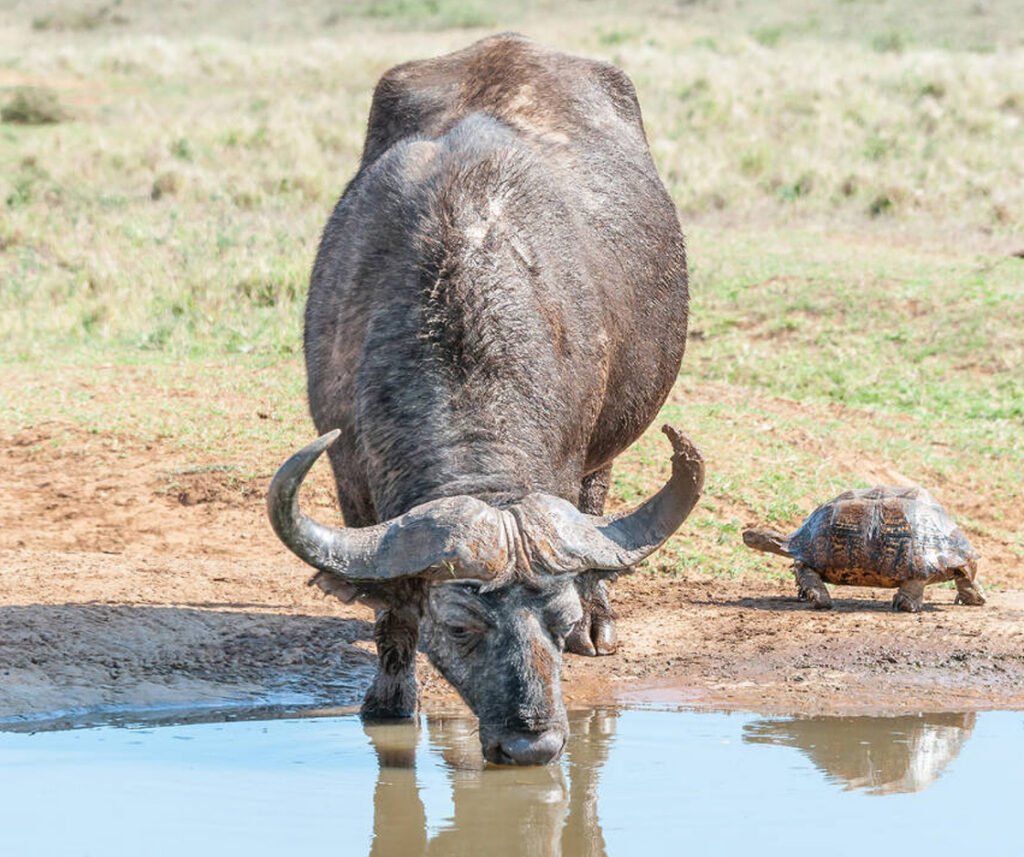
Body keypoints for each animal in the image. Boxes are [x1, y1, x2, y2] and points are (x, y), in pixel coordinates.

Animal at [268, 33, 703, 765]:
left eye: (556, 621)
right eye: (460, 627)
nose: (532, 744)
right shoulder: (350, 477)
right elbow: (392, 605)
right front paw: (391, 697)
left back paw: (603, 622)